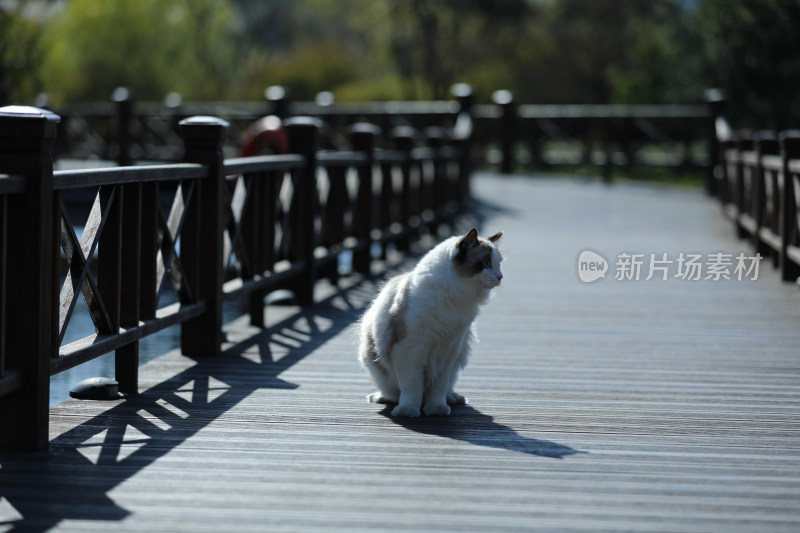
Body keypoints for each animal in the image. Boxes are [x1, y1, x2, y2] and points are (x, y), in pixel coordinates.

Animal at [358, 227, 504, 418]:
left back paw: (452, 398)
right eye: (486, 264)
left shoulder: (449, 350)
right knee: (392, 391)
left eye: (499, 264)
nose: (500, 277)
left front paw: (436, 409)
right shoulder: (409, 350)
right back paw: (384, 398)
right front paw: (408, 411)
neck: (452, 299)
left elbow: (438, 389)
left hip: (459, 356)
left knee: (447, 386)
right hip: (373, 362)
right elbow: (412, 387)